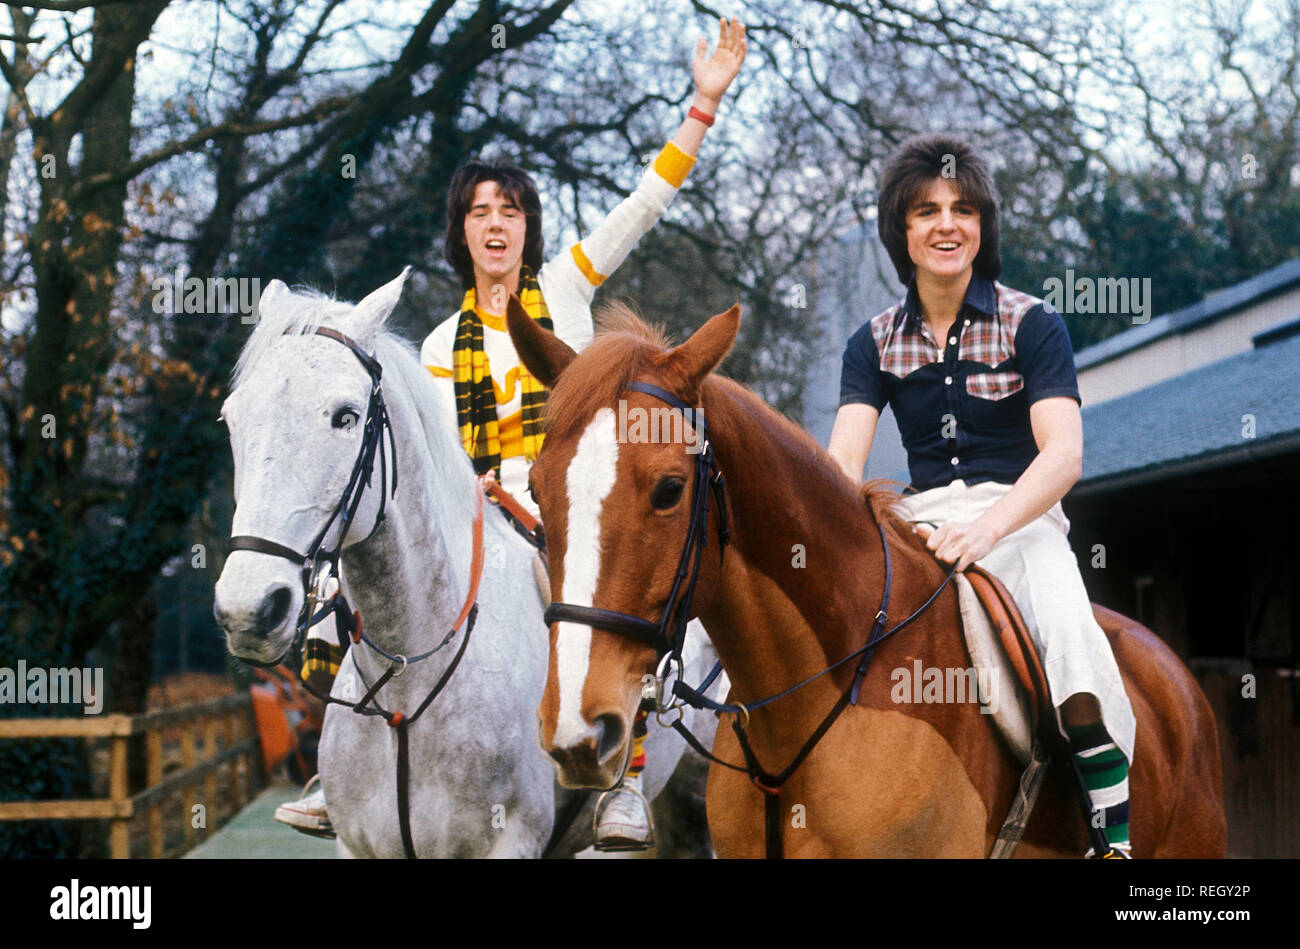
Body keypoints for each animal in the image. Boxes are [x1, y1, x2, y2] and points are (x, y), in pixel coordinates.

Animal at [214, 270, 722, 852]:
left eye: (346, 416)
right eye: (232, 418)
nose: (249, 609)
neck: (407, 692)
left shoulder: (510, 842)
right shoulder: (358, 846)